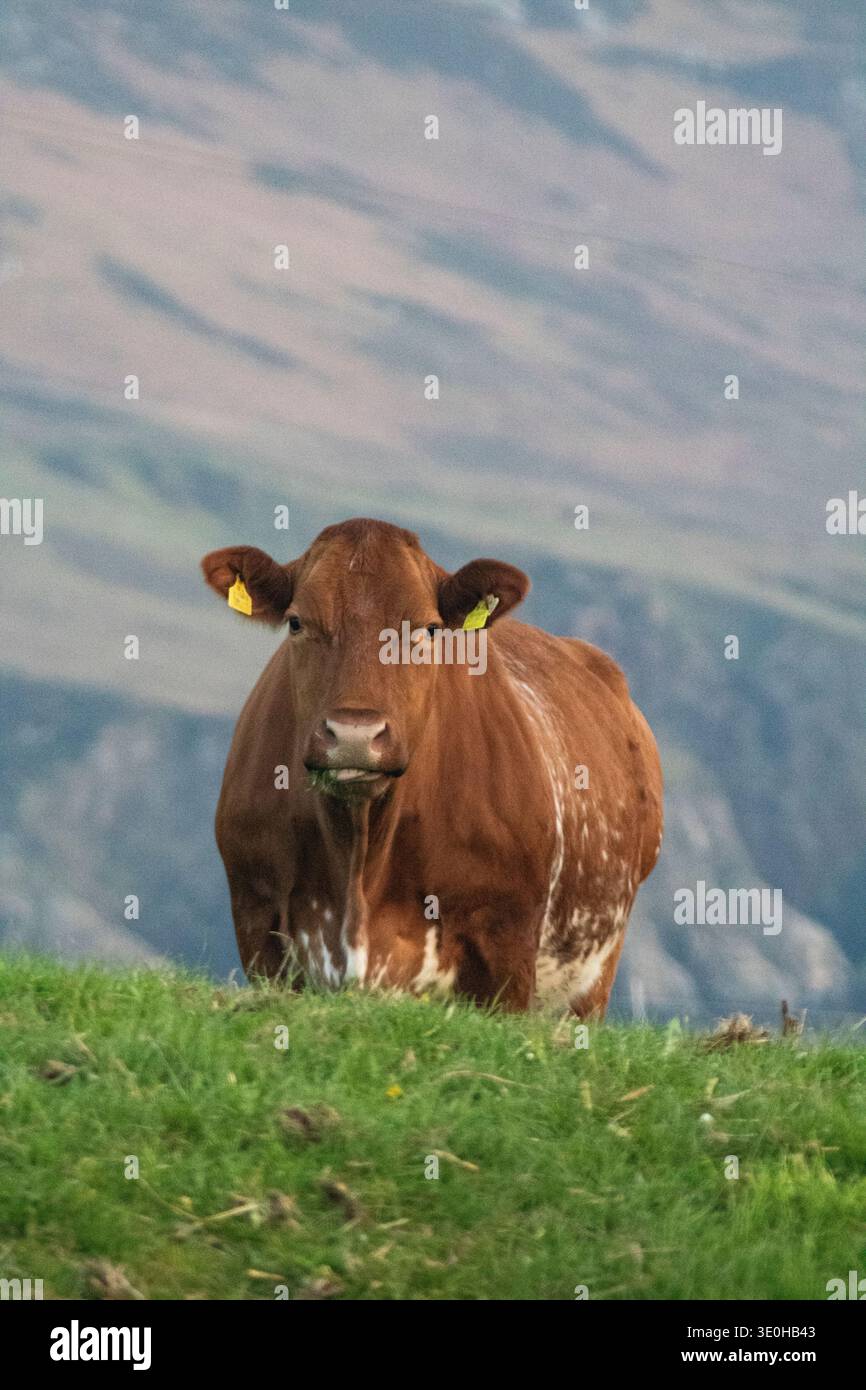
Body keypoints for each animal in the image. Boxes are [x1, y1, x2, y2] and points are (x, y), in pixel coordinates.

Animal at [201, 518, 662, 1015]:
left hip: (593, 977)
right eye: (296, 621)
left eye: (428, 629)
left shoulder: (508, 945)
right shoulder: (257, 915)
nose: (354, 734)